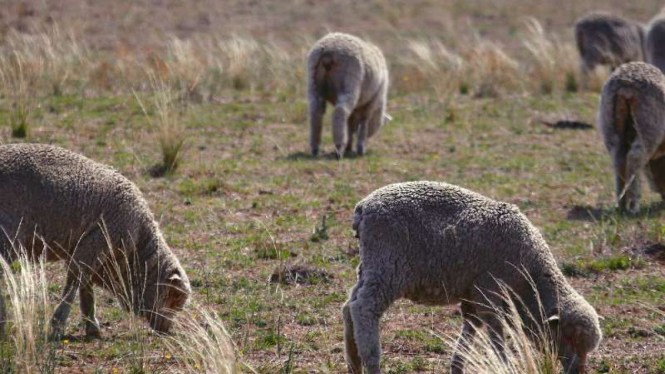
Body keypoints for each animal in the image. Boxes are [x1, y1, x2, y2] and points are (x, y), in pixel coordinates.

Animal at [0, 142, 192, 338]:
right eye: (174, 297)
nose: (166, 330)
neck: (137, 245)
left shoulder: (86, 248)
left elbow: (86, 286)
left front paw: (92, 326)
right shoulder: (96, 242)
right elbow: (74, 284)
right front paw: (57, 327)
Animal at [342, 181, 600, 374]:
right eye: (568, 339)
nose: (577, 372)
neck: (529, 280)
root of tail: (363, 208)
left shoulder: (473, 296)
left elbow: (470, 331)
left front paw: (457, 366)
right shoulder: (489, 291)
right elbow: (496, 333)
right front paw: (504, 365)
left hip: (371, 265)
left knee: (348, 305)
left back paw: (353, 363)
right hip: (389, 266)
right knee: (363, 307)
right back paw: (371, 362)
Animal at [600, 61, 665, 213]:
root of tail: (626, 84)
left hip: (610, 124)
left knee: (618, 159)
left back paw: (622, 203)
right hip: (648, 125)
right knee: (634, 157)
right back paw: (633, 205)